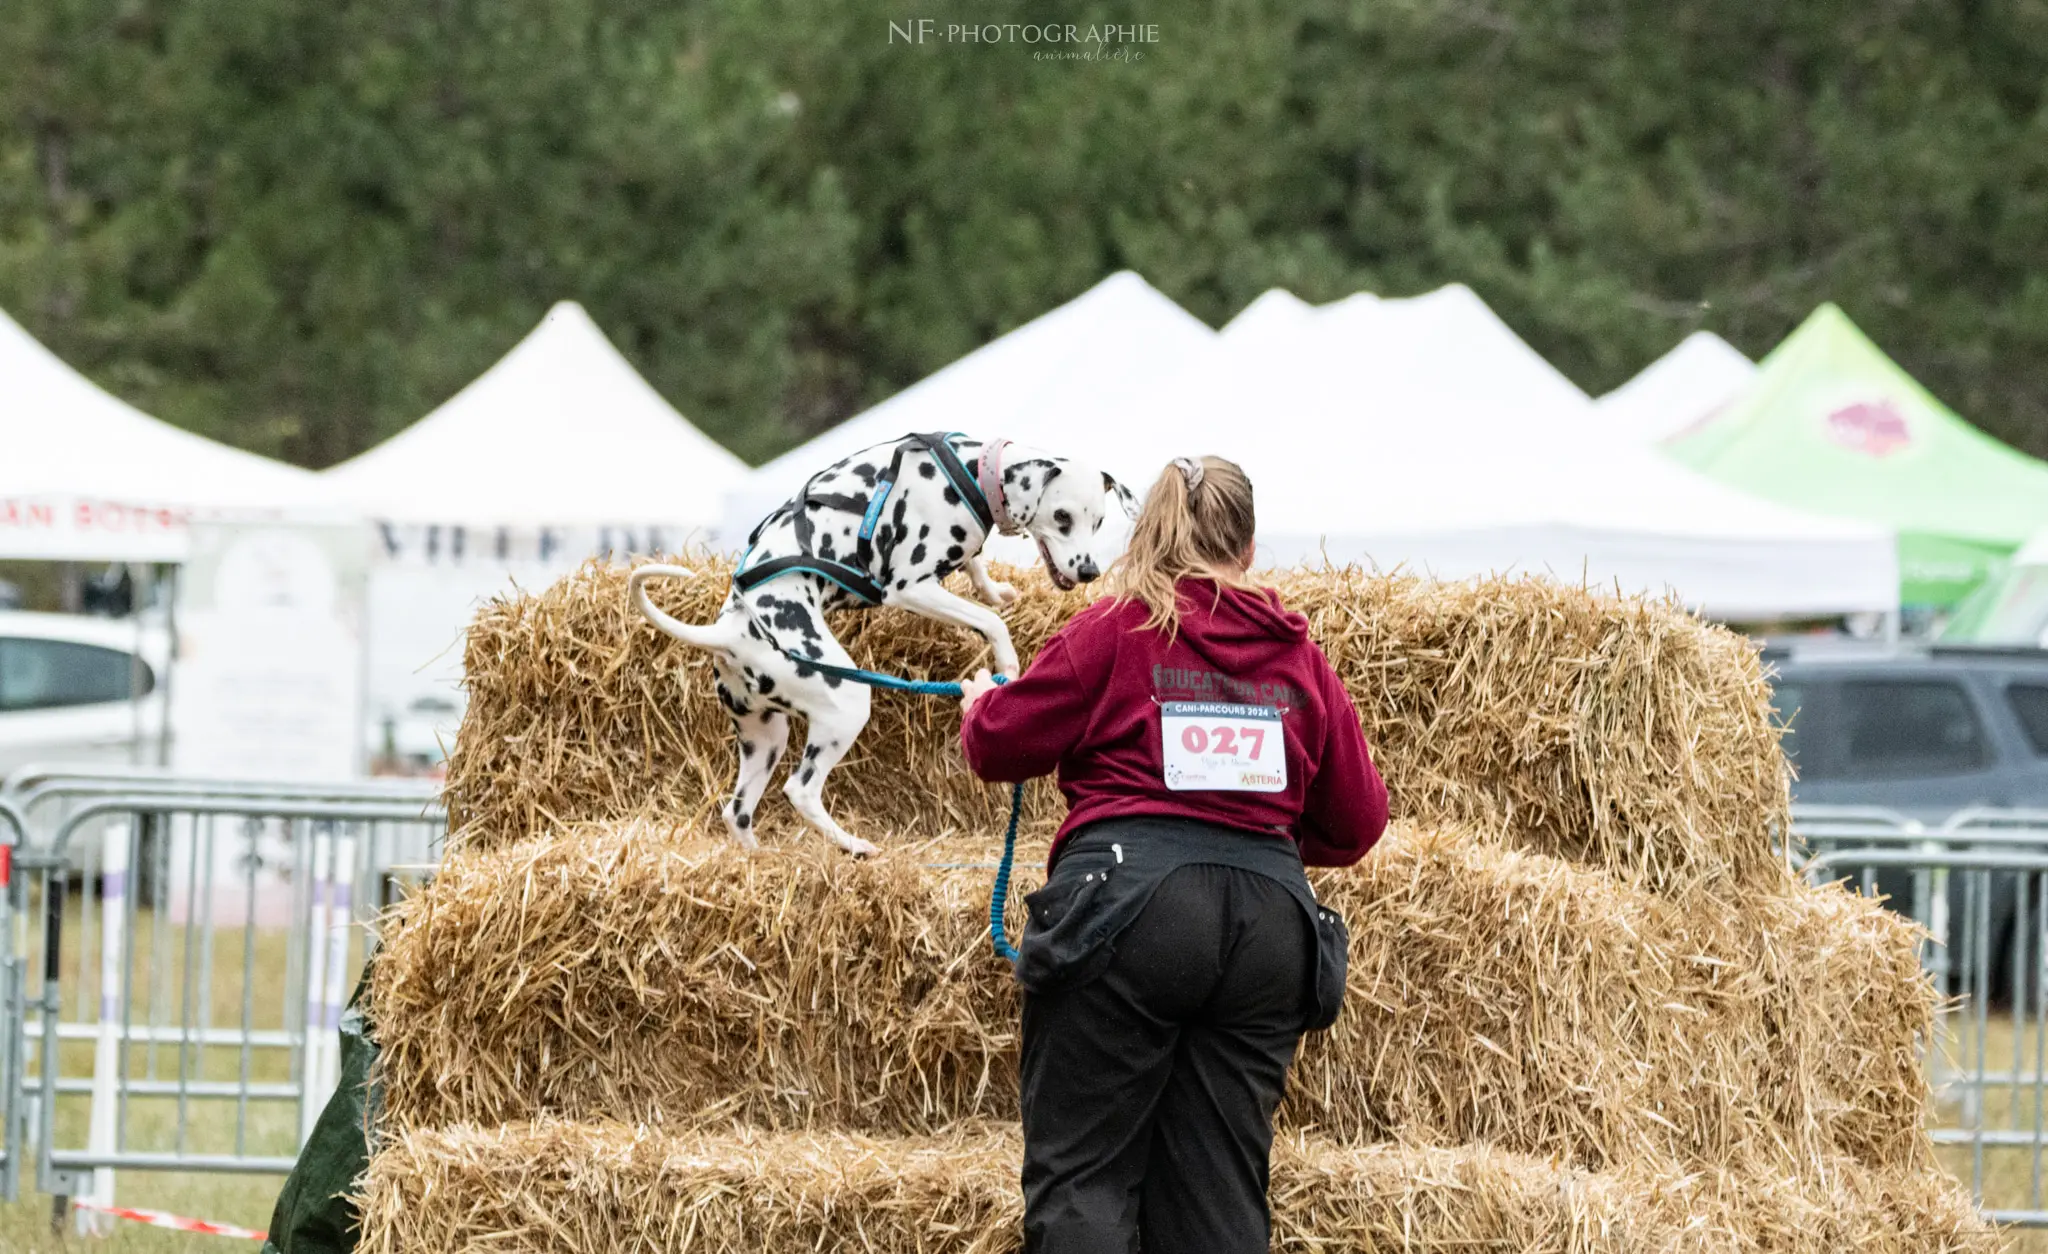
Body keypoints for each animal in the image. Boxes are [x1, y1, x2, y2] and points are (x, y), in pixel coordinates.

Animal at [626, 428, 1138, 852]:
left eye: (1097, 522)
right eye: (1062, 516)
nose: (1090, 571)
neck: (970, 472)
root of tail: (730, 632)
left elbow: (977, 568)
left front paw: (999, 589)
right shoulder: (910, 587)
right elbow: (990, 621)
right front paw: (1008, 665)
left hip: (764, 736)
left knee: (737, 813)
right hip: (846, 702)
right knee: (801, 789)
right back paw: (855, 846)